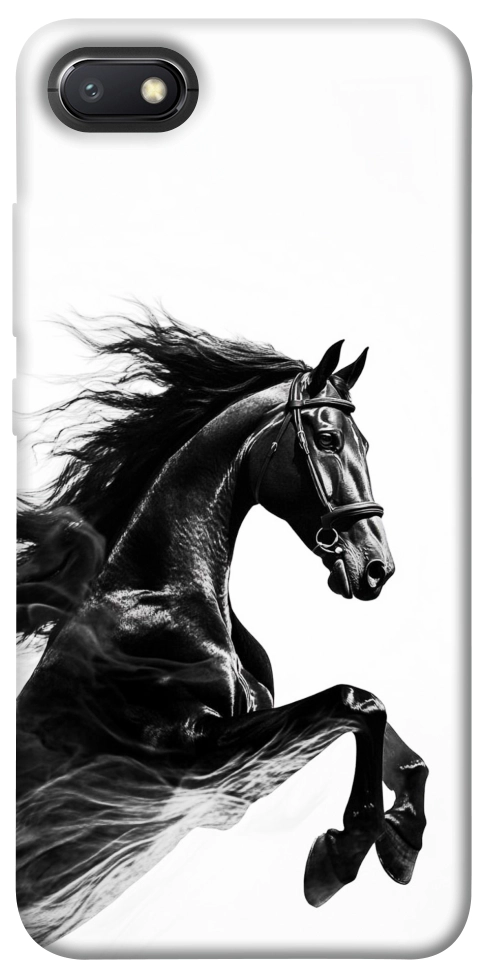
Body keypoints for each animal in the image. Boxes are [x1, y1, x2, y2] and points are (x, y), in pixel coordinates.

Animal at [16, 314, 428, 946]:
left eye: (365, 443)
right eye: (328, 439)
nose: (377, 567)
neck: (162, 599)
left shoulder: (238, 779)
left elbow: (391, 739)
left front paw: (402, 842)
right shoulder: (198, 761)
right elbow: (357, 702)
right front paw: (339, 857)